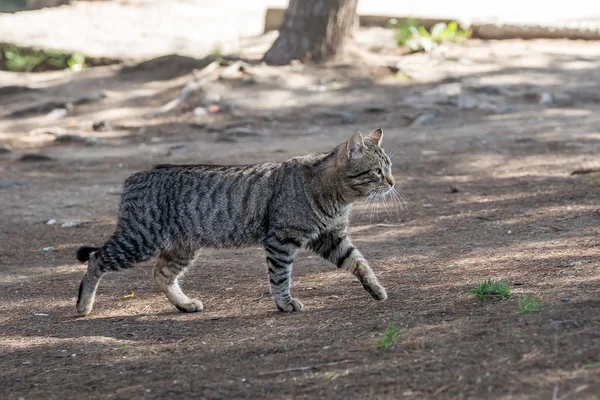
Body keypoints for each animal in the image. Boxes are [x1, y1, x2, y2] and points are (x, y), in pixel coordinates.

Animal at [76, 128, 394, 316]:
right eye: (377, 172)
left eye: (390, 167)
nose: (392, 182)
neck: (336, 196)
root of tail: (134, 177)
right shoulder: (281, 240)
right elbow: (280, 276)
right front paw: (284, 303)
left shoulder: (331, 237)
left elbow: (359, 262)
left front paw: (375, 289)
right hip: (138, 240)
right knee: (95, 259)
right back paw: (83, 306)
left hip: (181, 248)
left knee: (161, 274)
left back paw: (184, 304)